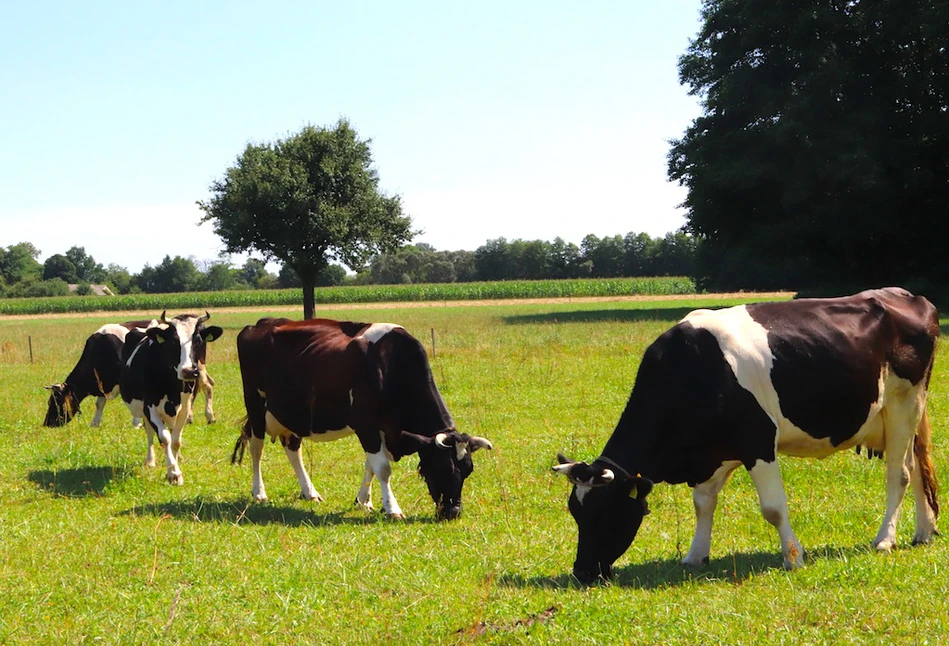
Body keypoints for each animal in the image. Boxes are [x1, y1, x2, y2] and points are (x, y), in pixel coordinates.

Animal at [233, 318, 492, 520]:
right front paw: (392, 509)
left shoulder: (384, 429)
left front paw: (364, 501)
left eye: (467, 470)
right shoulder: (365, 424)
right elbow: (383, 467)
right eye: (444, 468)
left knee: (293, 449)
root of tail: (262, 323)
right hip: (255, 405)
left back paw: (310, 492)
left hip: (293, 415)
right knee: (257, 449)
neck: (390, 364)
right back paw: (259, 492)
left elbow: (371, 465)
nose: (453, 513)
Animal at [552, 288, 936, 584]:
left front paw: (794, 556)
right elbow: (703, 504)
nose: (582, 572)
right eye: (575, 512)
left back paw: (884, 539)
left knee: (899, 474)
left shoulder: (759, 443)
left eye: (604, 512)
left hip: (904, 403)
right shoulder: (712, 454)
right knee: (917, 467)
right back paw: (924, 531)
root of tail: (905, 295)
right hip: (902, 414)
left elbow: (773, 508)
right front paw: (696, 555)